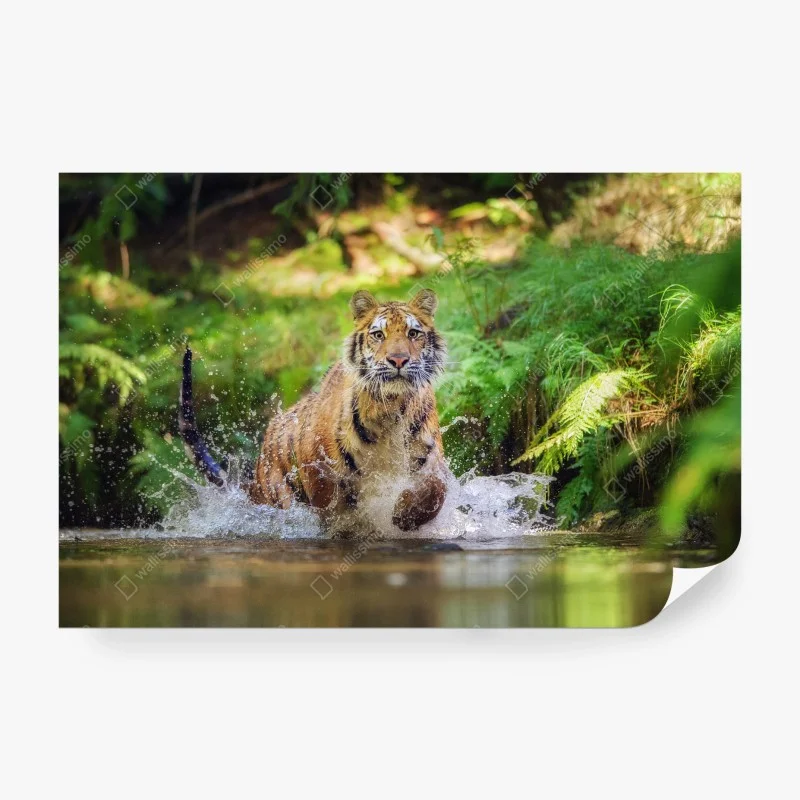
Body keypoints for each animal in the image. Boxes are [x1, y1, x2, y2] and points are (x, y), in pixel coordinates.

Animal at [179, 289, 448, 533]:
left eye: (413, 333)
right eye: (378, 335)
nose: (399, 360)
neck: (389, 408)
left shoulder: (430, 456)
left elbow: (436, 489)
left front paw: (404, 514)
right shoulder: (318, 467)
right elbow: (333, 506)